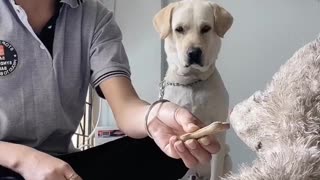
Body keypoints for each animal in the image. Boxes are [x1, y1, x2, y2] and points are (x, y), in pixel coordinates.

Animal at [152, 0, 232, 180]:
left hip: (228, 159)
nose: (194, 52)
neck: (191, 82)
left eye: (206, 28)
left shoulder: (219, 140)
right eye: (179, 29)